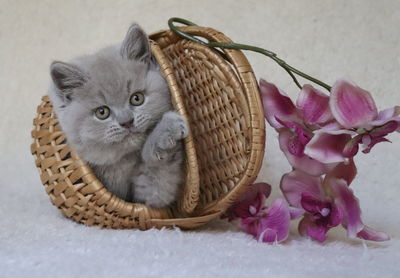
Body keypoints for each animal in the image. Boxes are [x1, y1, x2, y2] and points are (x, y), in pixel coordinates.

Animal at [48, 23, 189, 207]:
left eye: (137, 98)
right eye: (102, 112)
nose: (127, 121)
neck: (124, 163)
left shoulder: (148, 197)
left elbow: (158, 182)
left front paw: (165, 133)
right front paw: (167, 130)